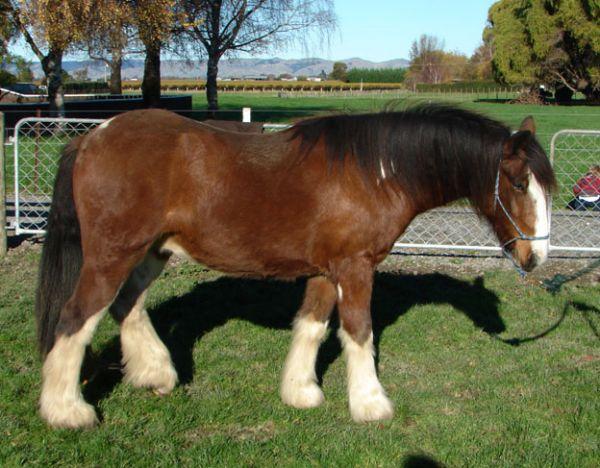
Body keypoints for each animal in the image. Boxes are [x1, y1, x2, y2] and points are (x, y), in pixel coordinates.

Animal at [35, 105, 556, 428]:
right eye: (518, 182)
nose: (536, 257)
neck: (378, 173)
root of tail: (92, 137)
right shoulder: (355, 268)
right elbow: (358, 331)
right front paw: (371, 404)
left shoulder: (327, 270)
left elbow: (311, 326)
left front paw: (301, 391)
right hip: (112, 255)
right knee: (75, 318)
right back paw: (67, 411)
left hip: (152, 252)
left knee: (127, 305)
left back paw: (155, 374)